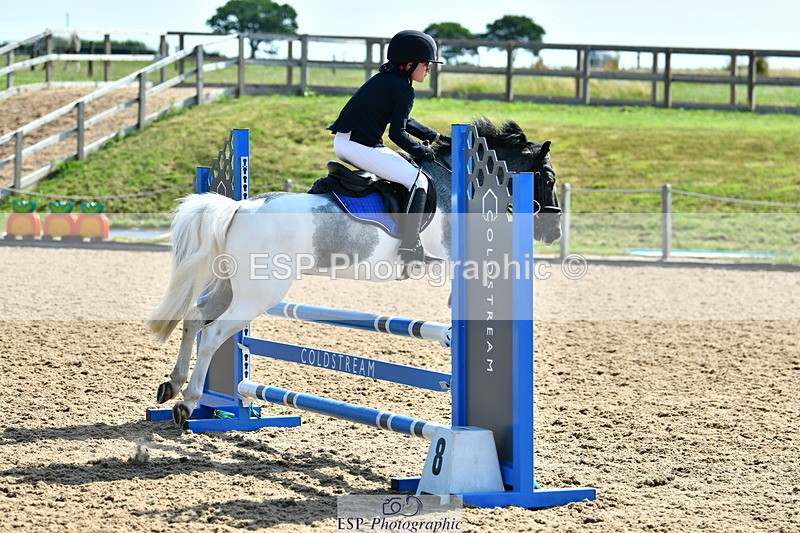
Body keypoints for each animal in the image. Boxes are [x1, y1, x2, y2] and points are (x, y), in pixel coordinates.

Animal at [145, 118, 562, 426]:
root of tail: (239, 208)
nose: (553, 232)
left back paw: (173, 385)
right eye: (549, 179)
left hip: (232, 287)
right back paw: (188, 402)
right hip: (258, 295)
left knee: (195, 318)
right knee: (214, 332)